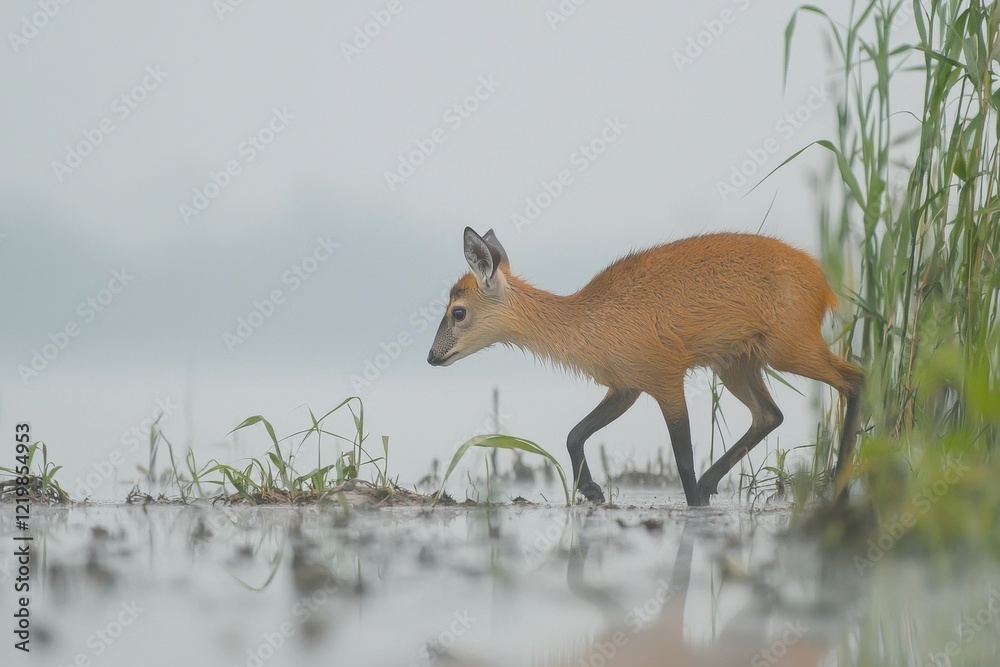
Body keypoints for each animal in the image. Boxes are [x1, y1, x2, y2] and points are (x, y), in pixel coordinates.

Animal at [427, 227, 863, 506]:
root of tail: (823, 282)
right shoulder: (627, 387)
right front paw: (592, 491)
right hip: (737, 365)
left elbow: (682, 459)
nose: (432, 356)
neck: (586, 320)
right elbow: (574, 434)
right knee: (770, 414)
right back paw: (714, 483)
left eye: (458, 312)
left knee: (856, 379)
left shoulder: (665, 380)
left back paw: (840, 481)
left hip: (789, 350)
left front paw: (692, 503)